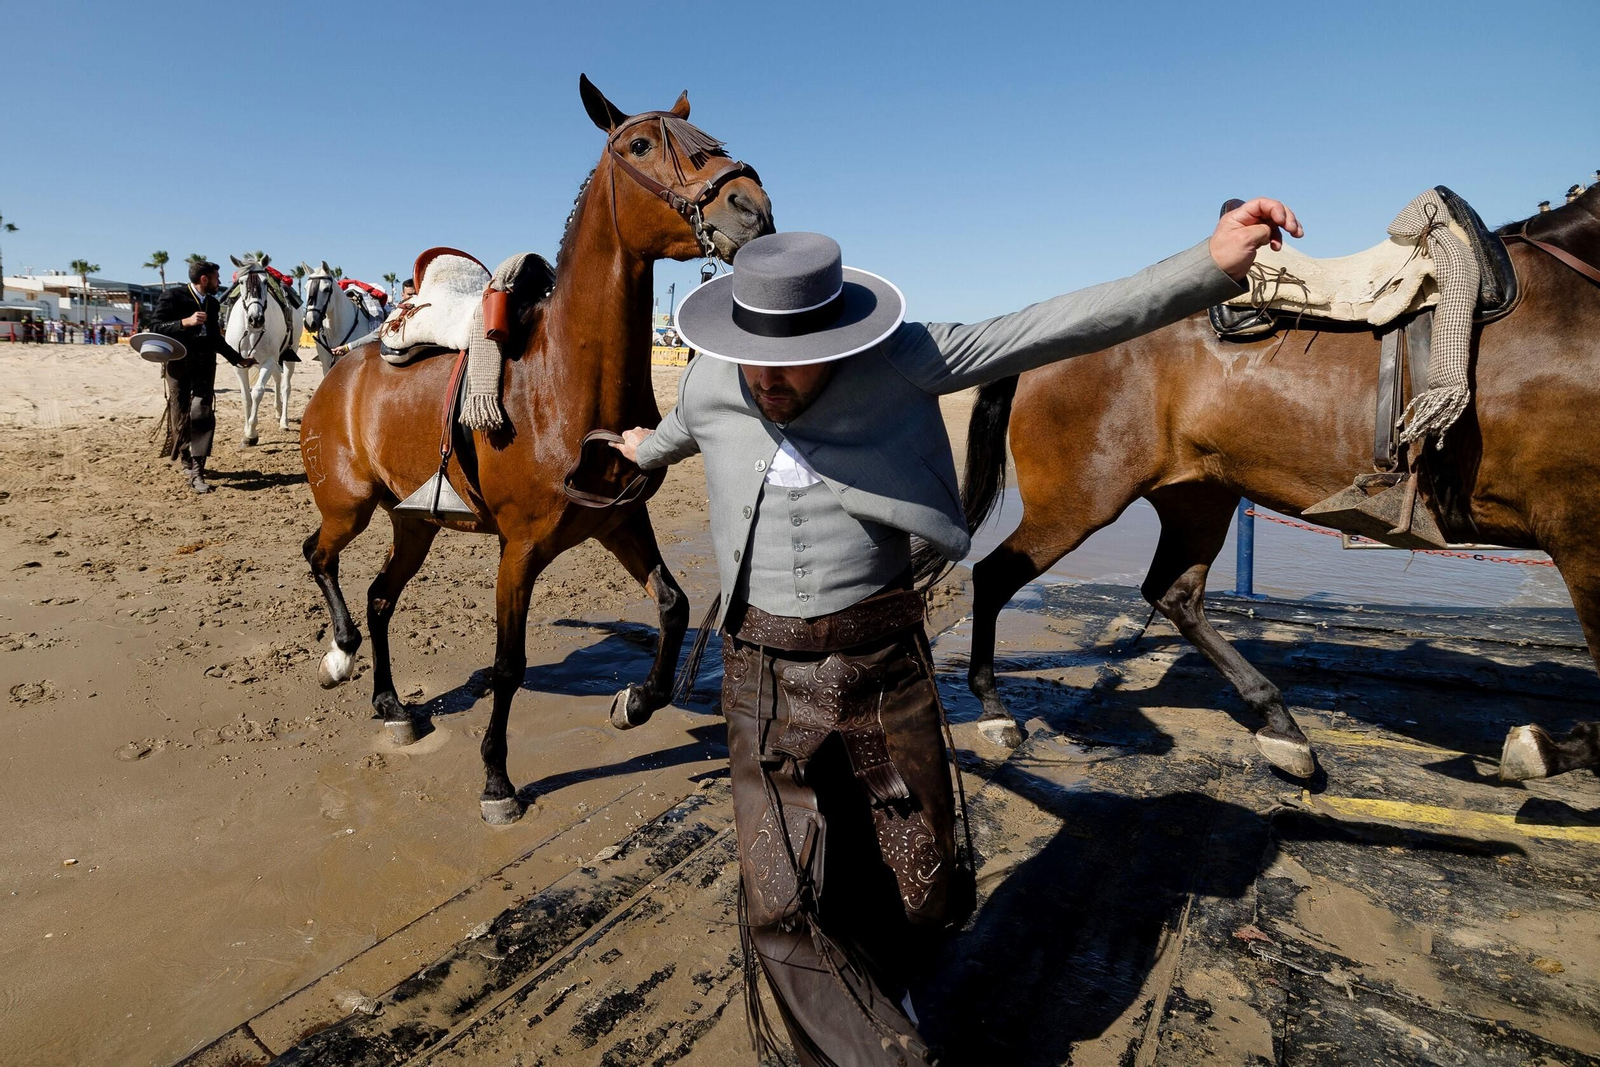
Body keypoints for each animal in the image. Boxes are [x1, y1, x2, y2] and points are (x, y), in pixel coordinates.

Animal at [224, 254, 304, 445]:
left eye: (265, 281)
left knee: (286, 386)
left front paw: (251, 434)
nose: (256, 319)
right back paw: (278, 411)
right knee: (277, 378)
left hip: (290, 352)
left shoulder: (267, 361)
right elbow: (245, 397)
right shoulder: (239, 365)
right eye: (241, 282)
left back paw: (284, 421)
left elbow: (257, 392)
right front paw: (246, 428)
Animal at [298, 75, 772, 824]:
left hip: (412, 523)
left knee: (378, 597)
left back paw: (390, 702)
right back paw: (341, 658)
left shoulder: (619, 521)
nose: (754, 207)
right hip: (349, 505)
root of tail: (340, 365)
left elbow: (672, 605)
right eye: (642, 145)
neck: (561, 382)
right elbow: (509, 665)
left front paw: (635, 702)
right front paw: (497, 777)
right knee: (319, 557)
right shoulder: (518, 549)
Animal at [954, 186, 1600, 782]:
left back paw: (1279, 723)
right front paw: (1545, 749)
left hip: (1198, 497)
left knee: (1174, 594)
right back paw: (994, 712)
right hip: (1079, 500)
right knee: (994, 575)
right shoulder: (1579, 535)